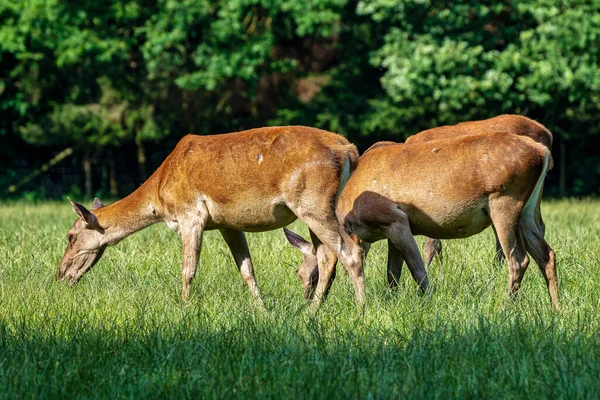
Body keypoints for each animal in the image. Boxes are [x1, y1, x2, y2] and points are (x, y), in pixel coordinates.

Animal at [57, 126, 366, 308]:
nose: (60, 275)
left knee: (350, 251)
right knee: (327, 256)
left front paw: (183, 307)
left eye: (70, 236)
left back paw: (360, 308)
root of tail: (349, 150)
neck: (160, 196)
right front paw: (261, 310)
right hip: (321, 206)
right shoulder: (227, 224)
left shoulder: (190, 214)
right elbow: (247, 270)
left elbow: (188, 268)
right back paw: (311, 311)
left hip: (312, 202)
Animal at [286, 131, 556, 310]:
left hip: (505, 202)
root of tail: (543, 153)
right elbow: (392, 275)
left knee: (518, 259)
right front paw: (392, 303)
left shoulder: (394, 218)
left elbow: (417, 270)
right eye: (298, 273)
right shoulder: (388, 231)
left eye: (309, 274)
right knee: (547, 254)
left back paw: (506, 306)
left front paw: (428, 302)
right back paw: (556, 309)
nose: (306, 304)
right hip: (528, 211)